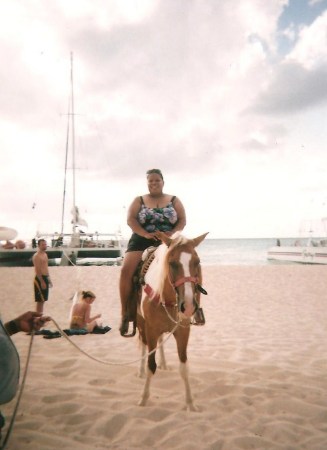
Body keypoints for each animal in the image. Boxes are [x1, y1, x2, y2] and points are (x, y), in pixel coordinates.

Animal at [135, 232, 208, 412]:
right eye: (172, 263)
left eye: (197, 262)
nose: (188, 306)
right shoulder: (151, 330)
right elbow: (150, 365)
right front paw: (144, 398)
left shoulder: (183, 330)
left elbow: (184, 368)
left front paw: (190, 403)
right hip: (141, 324)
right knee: (143, 345)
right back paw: (140, 371)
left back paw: (164, 364)